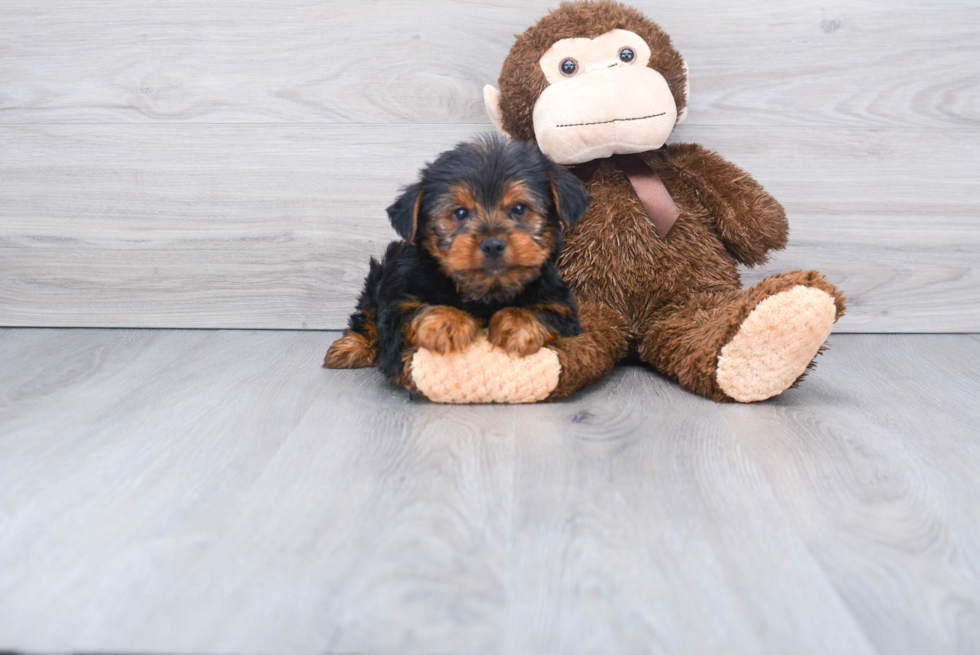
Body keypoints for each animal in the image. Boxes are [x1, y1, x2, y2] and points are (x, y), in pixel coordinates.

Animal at [322, 135, 588, 386]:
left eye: (520, 208)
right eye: (460, 213)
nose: (493, 244)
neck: (484, 293)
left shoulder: (561, 305)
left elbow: (547, 313)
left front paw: (517, 324)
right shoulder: (399, 298)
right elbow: (409, 313)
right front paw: (446, 321)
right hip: (380, 273)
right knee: (367, 314)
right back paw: (351, 347)